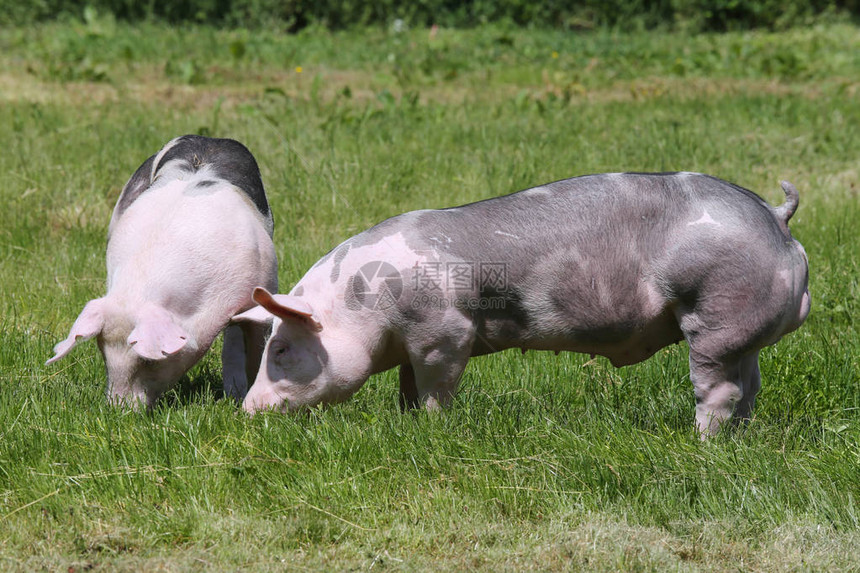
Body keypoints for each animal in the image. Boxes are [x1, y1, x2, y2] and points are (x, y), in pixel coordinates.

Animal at [232, 172, 808, 436]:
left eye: (280, 350)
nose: (246, 410)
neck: (364, 302)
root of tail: (775, 220)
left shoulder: (445, 331)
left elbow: (435, 386)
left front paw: (431, 428)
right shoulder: (413, 342)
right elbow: (406, 385)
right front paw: (407, 421)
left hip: (717, 316)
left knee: (719, 389)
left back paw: (700, 440)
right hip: (742, 333)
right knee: (751, 384)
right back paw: (737, 438)